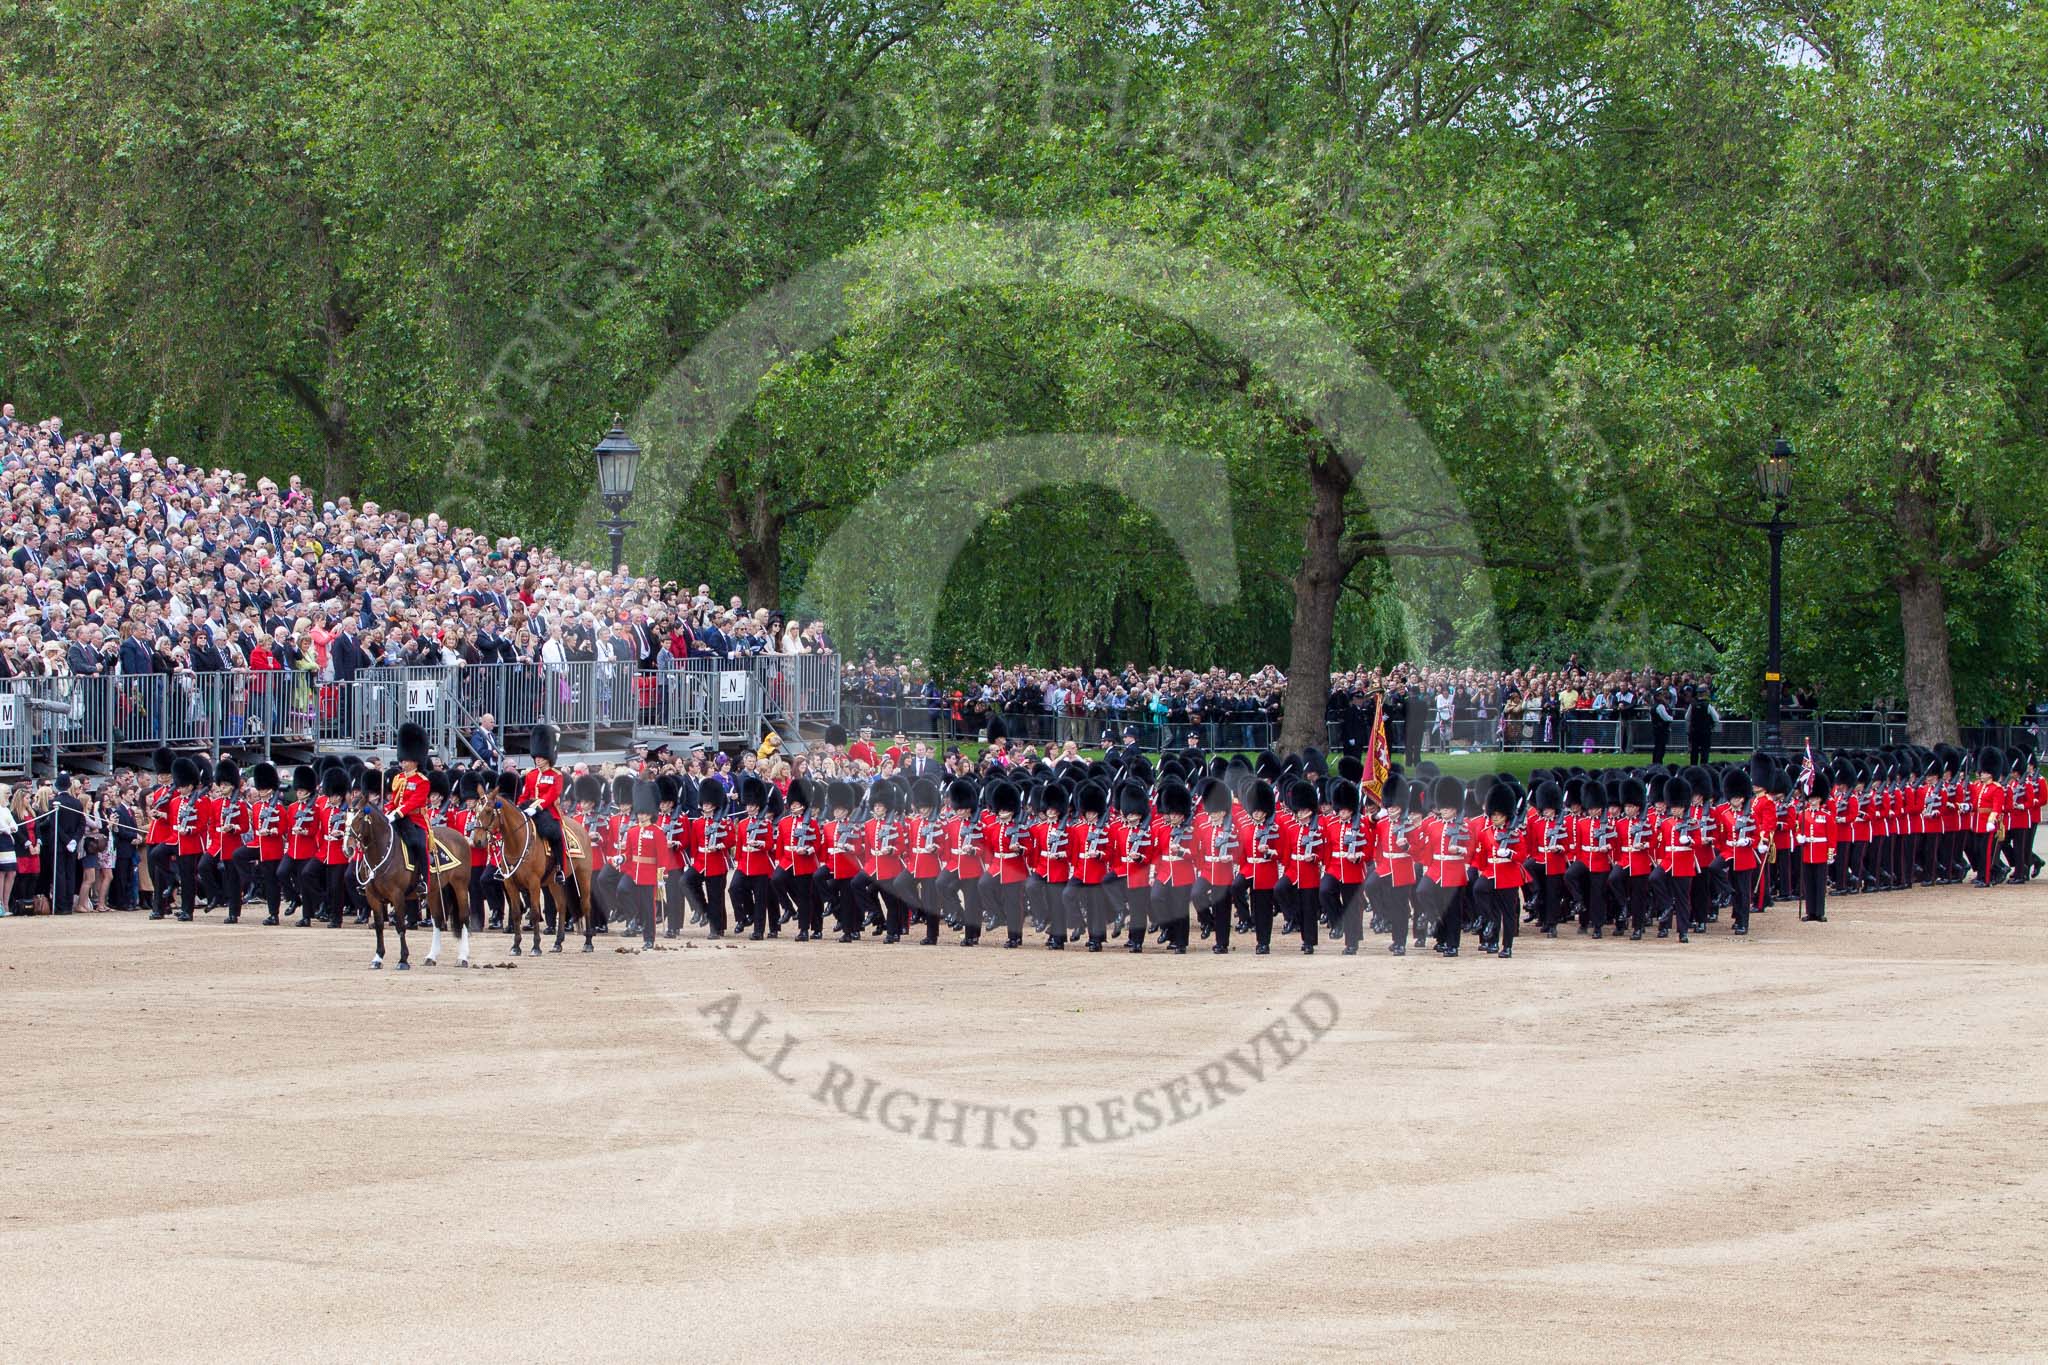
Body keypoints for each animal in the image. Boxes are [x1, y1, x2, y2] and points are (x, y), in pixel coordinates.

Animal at [468, 794, 589, 957]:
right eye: (475, 811)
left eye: (488, 811)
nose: (477, 841)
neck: (516, 843)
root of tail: (581, 828)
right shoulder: (510, 884)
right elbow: (516, 912)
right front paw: (515, 946)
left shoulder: (534, 883)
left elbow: (535, 913)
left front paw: (536, 947)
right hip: (554, 882)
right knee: (562, 905)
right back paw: (557, 943)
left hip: (583, 876)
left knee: (585, 905)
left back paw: (588, 943)